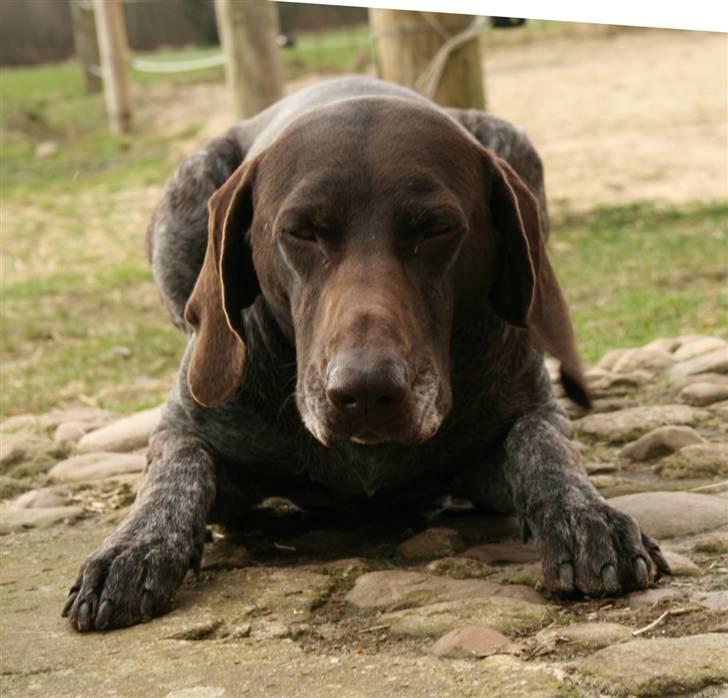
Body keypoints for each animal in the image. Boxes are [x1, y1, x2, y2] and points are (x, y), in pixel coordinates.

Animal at [64, 76, 672, 632]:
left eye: (437, 228)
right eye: (302, 231)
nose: (365, 392)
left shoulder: (513, 430)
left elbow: (542, 446)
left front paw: (586, 514)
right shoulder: (190, 427)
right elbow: (176, 469)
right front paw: (136, 545)